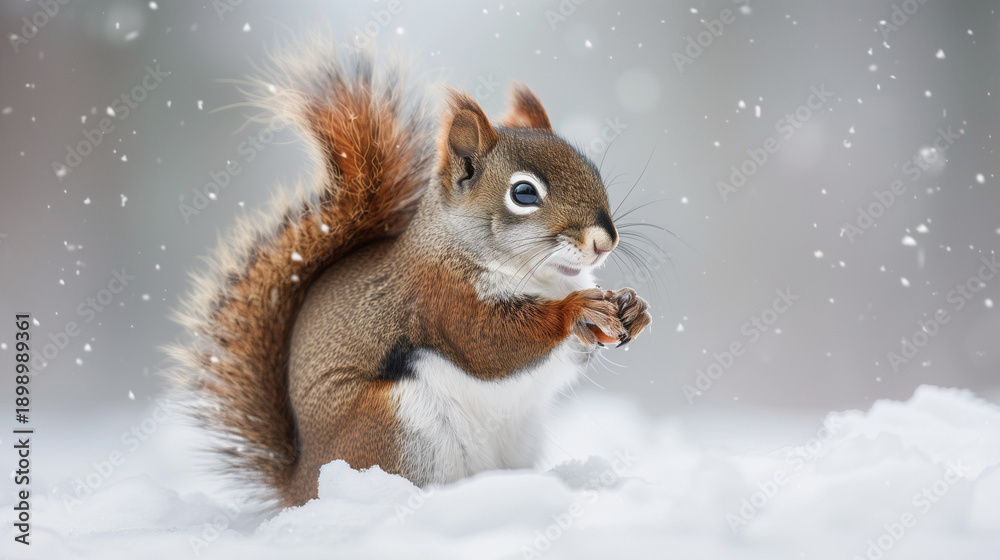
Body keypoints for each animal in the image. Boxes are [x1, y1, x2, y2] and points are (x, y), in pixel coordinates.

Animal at [167, 38, 652, 509]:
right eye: (524, 193)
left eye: (591, 169)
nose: (605, 241)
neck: (542, 277)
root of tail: (301, 487)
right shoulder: (438, 298)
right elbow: (491, 344)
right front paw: (575, 309)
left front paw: (632, 308)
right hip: (392, 427)